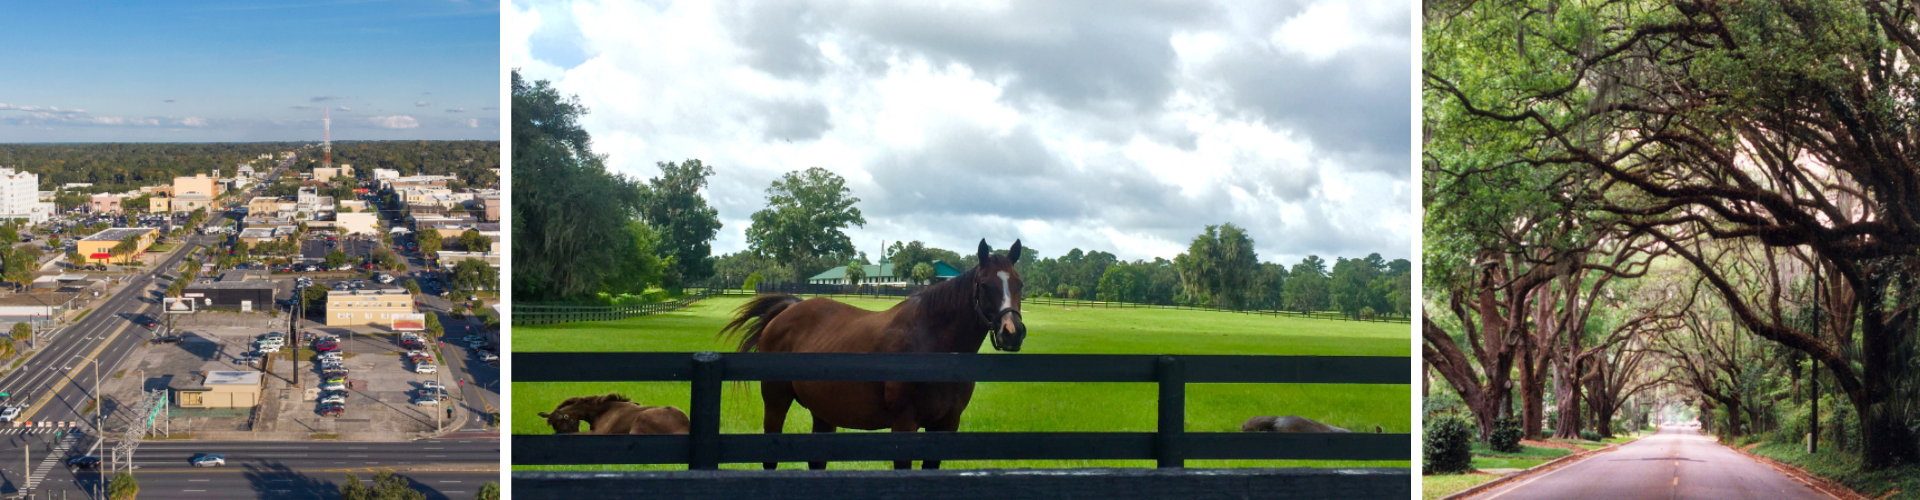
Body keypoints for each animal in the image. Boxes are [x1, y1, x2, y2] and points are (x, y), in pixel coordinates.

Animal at [722, 239, 1028, 470]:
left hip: (823, 412)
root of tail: (789, 308)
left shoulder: (945, 426)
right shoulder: (904, 425)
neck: (931, 343)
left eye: (1019, 284)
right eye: (985, 284)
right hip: (776, 402)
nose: (1012, 331)